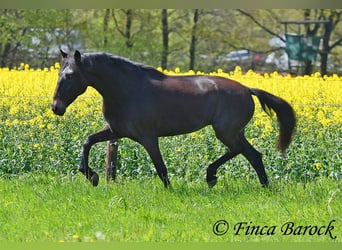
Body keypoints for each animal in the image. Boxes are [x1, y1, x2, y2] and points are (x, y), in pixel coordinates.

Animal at [52, 50, 296, 188]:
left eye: (70, 75)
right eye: (59, 73)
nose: (56, 107)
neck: (126, 90)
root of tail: (247, 89)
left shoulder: (148, 138)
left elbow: (161, 168)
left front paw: (170, 191)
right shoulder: (115, 131)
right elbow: (87, 141)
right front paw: (91, 176)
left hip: (225, 131)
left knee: (240, 151)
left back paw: (211, 176)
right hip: (233, 132)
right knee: (253, 155)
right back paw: (263, 186)